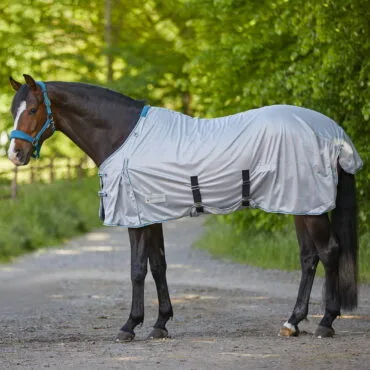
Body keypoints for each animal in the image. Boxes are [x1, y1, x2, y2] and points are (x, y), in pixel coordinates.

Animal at [7, 74, 362, 342]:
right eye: (13, 109)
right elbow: (158, 266)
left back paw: (326, 322)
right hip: (301, 204)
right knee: (309, 257)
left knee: (329, 251)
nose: (14, 154)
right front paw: (160, 324)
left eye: (34, 108)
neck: (124, 135)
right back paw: (293, 322)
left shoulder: (137, 217)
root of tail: (333, 133)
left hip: (310, 207)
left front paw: (129, 326)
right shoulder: (152, 217)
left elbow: (137, 270)